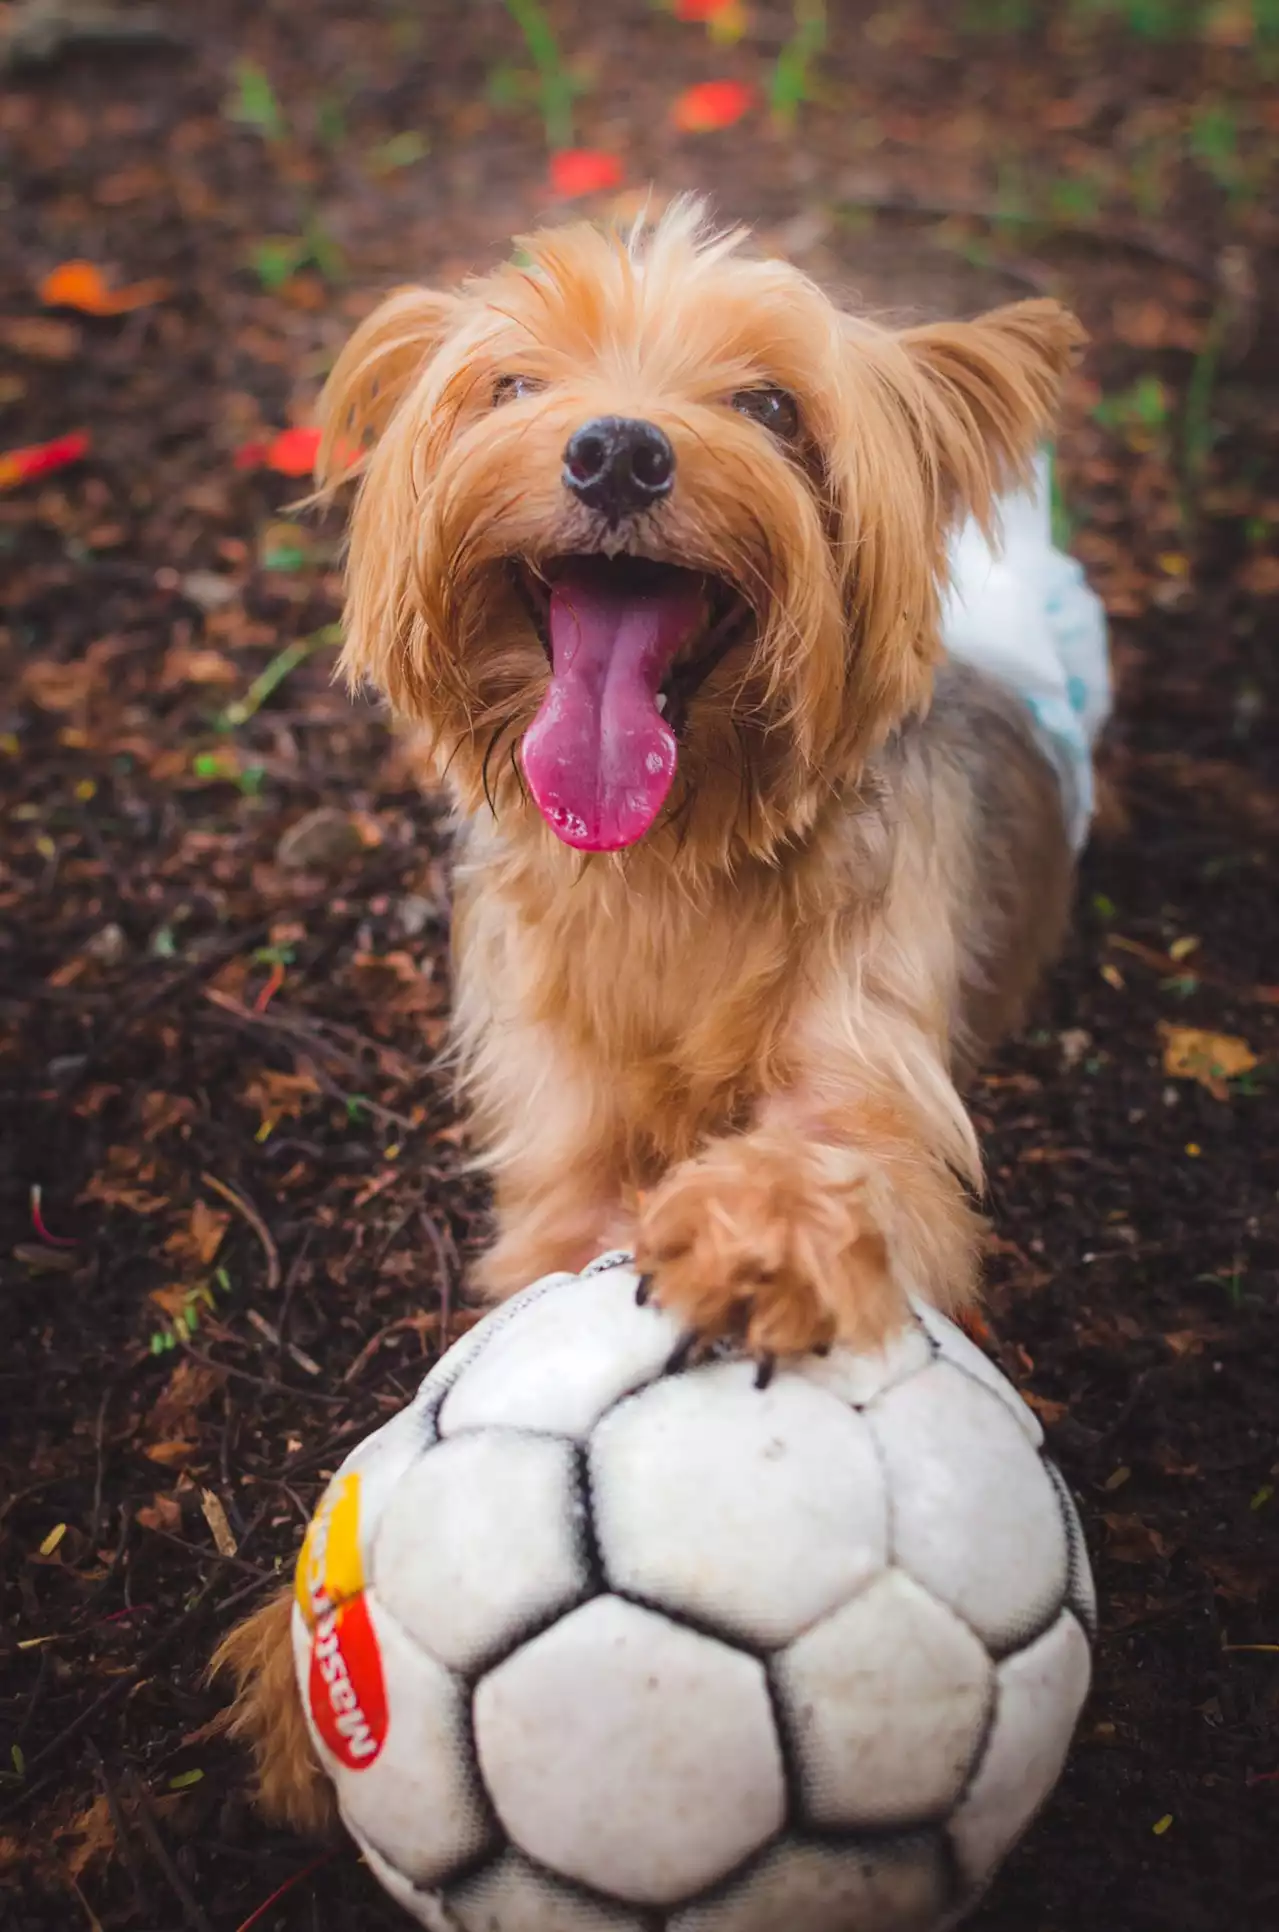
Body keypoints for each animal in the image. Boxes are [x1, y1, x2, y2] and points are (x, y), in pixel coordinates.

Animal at [215, 199, 1088, 1823]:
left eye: (773, 409)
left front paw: (760, 1229)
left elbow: (861, 1161)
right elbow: (536, 1279)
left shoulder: (876, 1054)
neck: (672, 860)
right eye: (510, 385)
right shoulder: (552, 1141)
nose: (617, 452)